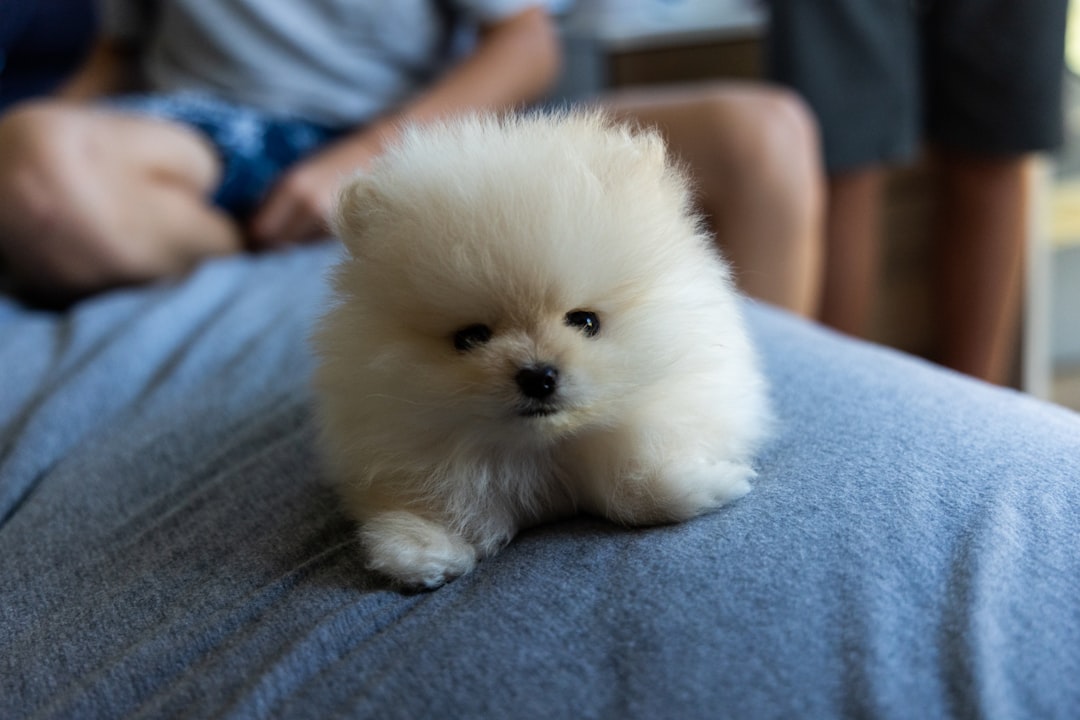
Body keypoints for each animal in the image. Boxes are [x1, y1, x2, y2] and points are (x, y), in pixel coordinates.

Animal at [311, 110, 768, 587]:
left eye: (586, 321)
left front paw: (708, 483)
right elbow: (435, 507)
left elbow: (632, 487)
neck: (544, 451)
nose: (538, 375)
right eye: (470, 338)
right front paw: (422, 550)